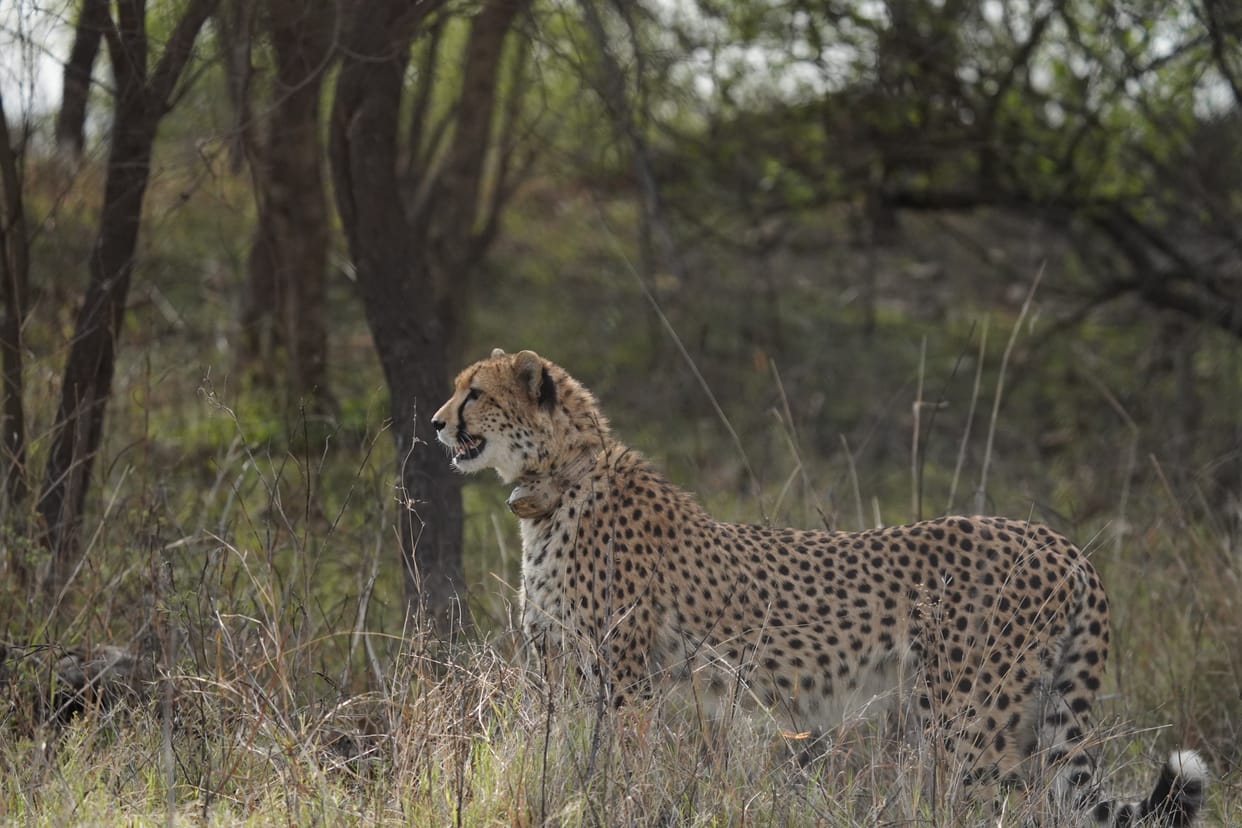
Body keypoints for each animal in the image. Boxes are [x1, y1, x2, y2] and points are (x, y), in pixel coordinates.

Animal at [432, 348, 1207, 826]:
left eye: (475, 392)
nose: (436, 423)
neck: (559, 482)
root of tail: (1059, 541)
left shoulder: (625, 679)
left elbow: (619, 767)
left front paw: (614, 807)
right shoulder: (561, 672)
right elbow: (554, 759)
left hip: (969, 720)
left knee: (990, 804)